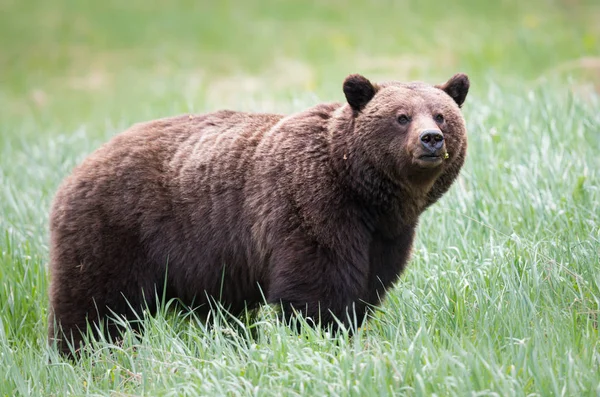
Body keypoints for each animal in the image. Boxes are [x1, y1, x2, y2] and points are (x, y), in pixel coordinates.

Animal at [47, 72, 468, 354]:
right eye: (401, 116)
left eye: (440, 114)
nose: (431, 139)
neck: (363, 191)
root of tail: (75, 171)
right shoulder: (310, 205)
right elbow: (316, 287)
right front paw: (319, 336)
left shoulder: (387, 233)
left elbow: (369, 284)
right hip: (116, 229)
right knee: (96, 304)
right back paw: (81, 353)